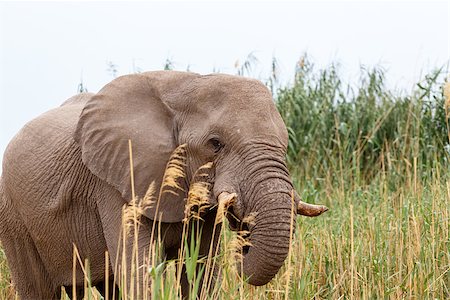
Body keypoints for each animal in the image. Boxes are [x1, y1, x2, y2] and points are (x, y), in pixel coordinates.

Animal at [0, 69, 326, 298]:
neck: (185, 85)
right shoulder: (118, 183)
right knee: (38, 289)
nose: (243, 242)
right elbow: (139, 274)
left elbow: (200, 273)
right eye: (215, 144)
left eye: (285, 144)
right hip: (12, 215)